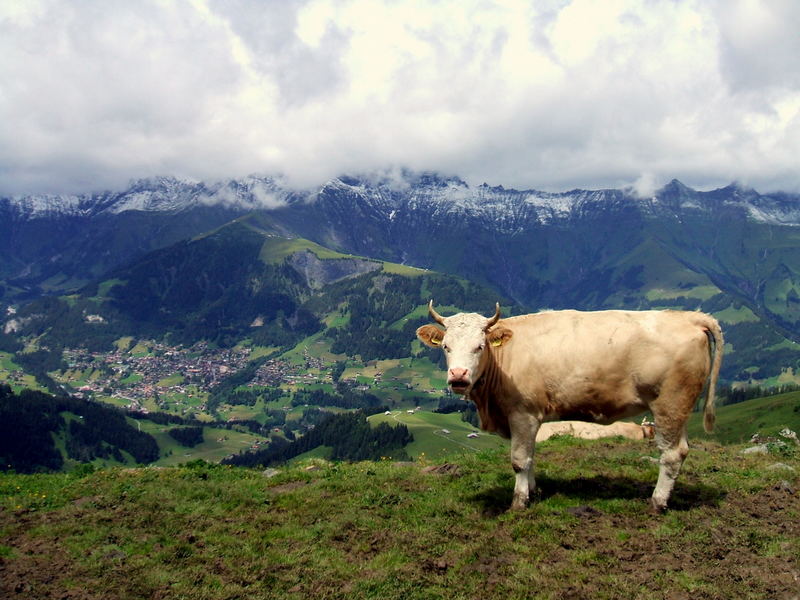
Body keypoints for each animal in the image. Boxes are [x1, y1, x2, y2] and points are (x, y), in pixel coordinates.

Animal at [418, 300, 724, 510]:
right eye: (445, 346)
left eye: (479, 346)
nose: (458, 377)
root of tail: (690, 317)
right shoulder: (531, 418)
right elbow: (531, 456)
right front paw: (534, 491)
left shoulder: (522, 413)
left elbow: (519, 459)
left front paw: (519, 501)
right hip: (679, 408)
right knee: (681, 450)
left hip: (669, 403)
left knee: (671, 454)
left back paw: (658, 502)